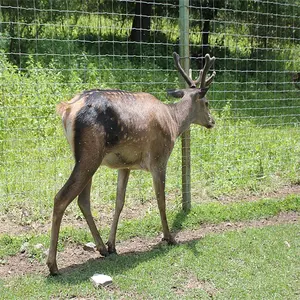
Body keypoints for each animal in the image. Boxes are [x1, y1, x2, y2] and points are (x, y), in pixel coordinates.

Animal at [46, 51, 216, 274]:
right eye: (207, 102)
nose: (212, 121)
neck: (174, 123)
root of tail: (67, 108)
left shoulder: (125, 165)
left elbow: (119, 202)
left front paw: (112, 244)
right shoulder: (159, 158)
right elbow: (161, 200)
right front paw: (169, 237)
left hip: (84, 157)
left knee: (83, 200)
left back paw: (101, 248)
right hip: (90, 153)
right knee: (61, 197)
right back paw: (53, 265)